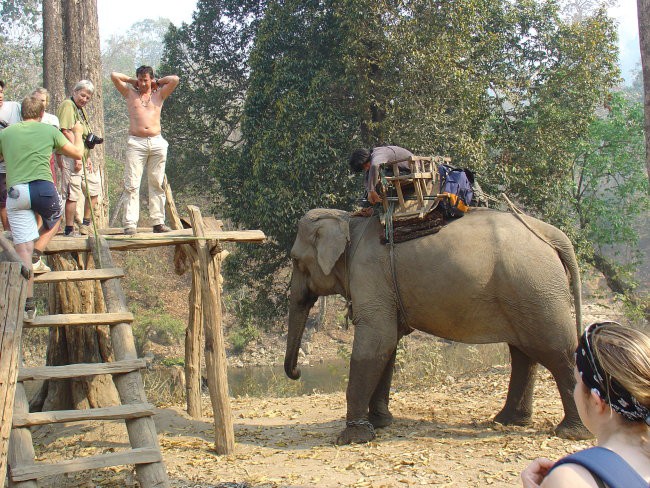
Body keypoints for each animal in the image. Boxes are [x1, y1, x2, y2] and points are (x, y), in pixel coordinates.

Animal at [284, 208, 588, 444]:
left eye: (295, 260)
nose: (297, 372)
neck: (347, 219)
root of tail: (552, 233)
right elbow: (388, 344)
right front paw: (381, 423)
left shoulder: (369, 274)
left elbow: (377, 340)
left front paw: (351, 439)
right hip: (525, 294)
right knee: (524, 354)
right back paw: (508, 421)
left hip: (536, 289)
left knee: (556, 352)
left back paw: (572, 433)